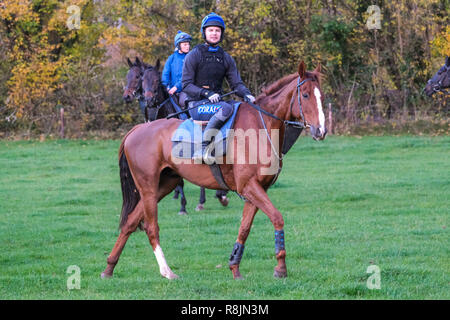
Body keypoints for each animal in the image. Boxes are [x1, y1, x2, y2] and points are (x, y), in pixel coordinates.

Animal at [103, 60, 326, 280]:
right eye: (305, 95)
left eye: (321, 96)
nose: (320, 131)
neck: (260, 127)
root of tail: (137, 129)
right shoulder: (250, 187)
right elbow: (277, 218)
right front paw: (280, 268)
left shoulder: (255, 190)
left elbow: (244, 228)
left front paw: (235, 267)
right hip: (148, 188)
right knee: (150, 227)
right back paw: (167, 271)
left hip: (163, 186)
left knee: (130, 222)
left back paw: (109, 267)